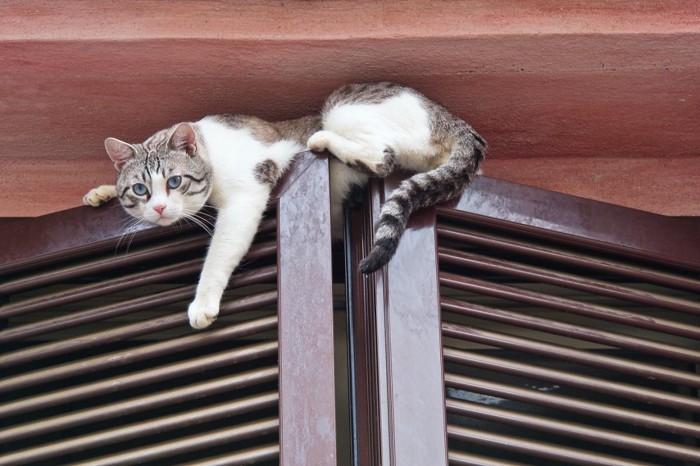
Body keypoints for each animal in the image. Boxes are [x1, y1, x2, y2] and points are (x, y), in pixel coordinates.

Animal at [83, 81, 486, 328]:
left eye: (174, 181)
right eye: (139, 189)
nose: (159, 209)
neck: (210, 149)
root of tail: (459, 124)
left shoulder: (247, 193)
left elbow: (219, 255)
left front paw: (203, 302)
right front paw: (101, 191)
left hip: (343, 106)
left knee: (380, 156)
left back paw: (321, 138)